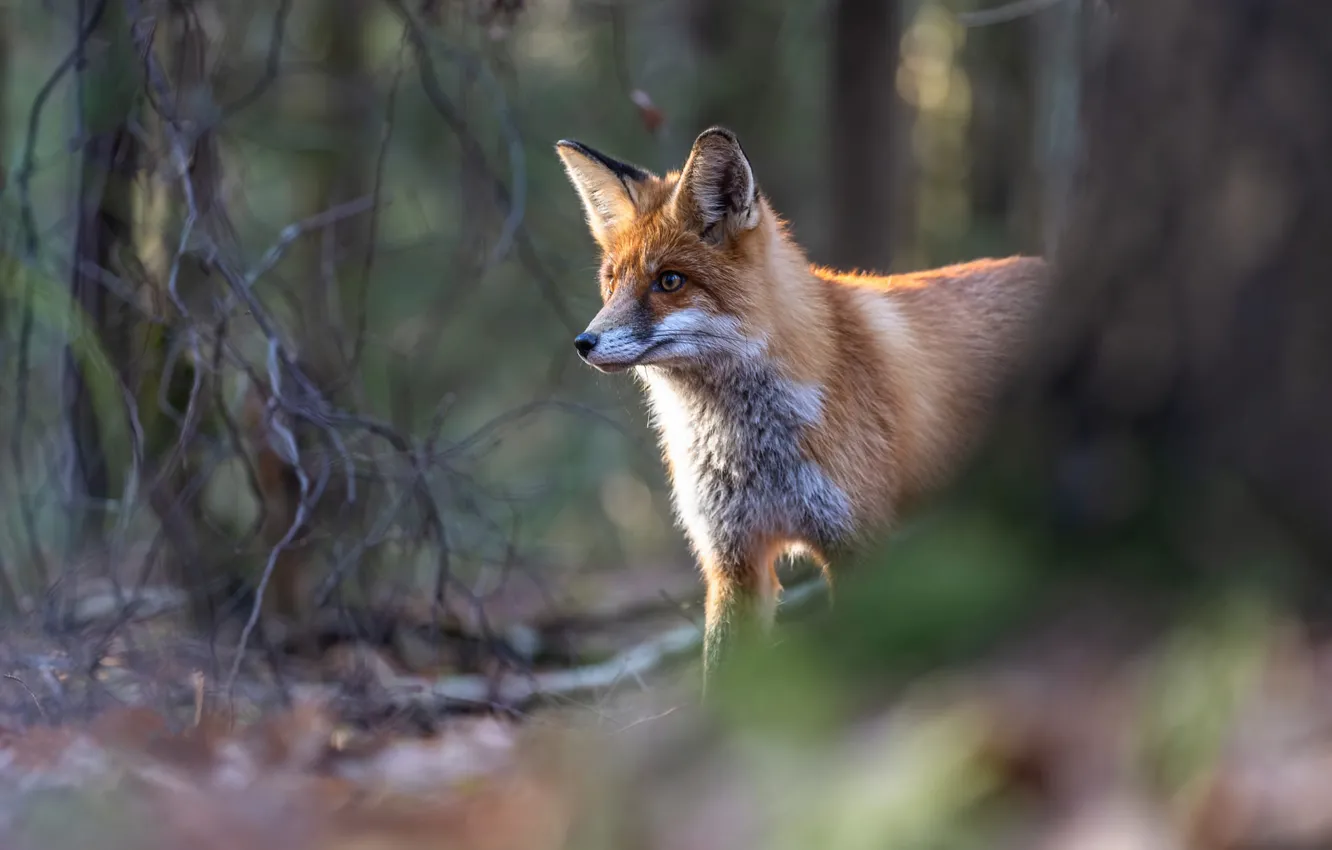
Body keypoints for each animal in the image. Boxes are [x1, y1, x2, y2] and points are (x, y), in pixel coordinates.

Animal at [556, 127, 1049, 680]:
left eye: (670, 281)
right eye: (611, 280)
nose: (583, 343)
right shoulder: (734, 559)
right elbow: (722, 678)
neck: (750, 448)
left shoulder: (855, 543)